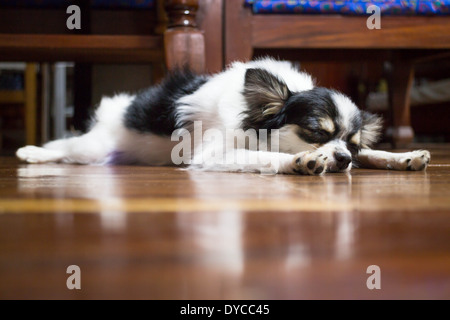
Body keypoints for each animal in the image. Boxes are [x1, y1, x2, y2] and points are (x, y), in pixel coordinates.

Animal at [16, 58, 428, 176]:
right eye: (315, 132)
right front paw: (301, 160)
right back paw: (31, 153)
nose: (342, 158)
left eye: (353, 147)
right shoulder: (212, 156)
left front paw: (404, 156)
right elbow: (267, 156)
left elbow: (378, 155)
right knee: (65, 146)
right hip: (92, 147)